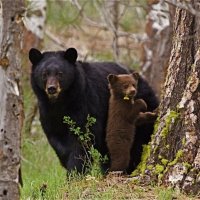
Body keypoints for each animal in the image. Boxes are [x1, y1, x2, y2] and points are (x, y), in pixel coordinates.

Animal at [28, 47, 159, 173]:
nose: (52, 88)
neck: (60, 103)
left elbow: (83, 140)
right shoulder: (48, 114)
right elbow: (57, 140)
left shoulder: (85, 104)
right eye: (44, 74)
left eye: (60, 73)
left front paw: (75, 172)